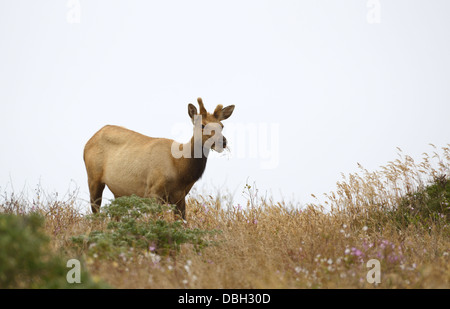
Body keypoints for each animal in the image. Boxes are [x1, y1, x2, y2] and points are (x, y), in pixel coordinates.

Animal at [83, 97, 236, 218]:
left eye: (221, 125)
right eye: (202, 125)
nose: (222, 142)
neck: (180, 169)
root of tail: (88, 142)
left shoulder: (180, 196)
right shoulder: (153, 191)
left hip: (118, 191)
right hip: (93, 177)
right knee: (95, 211)